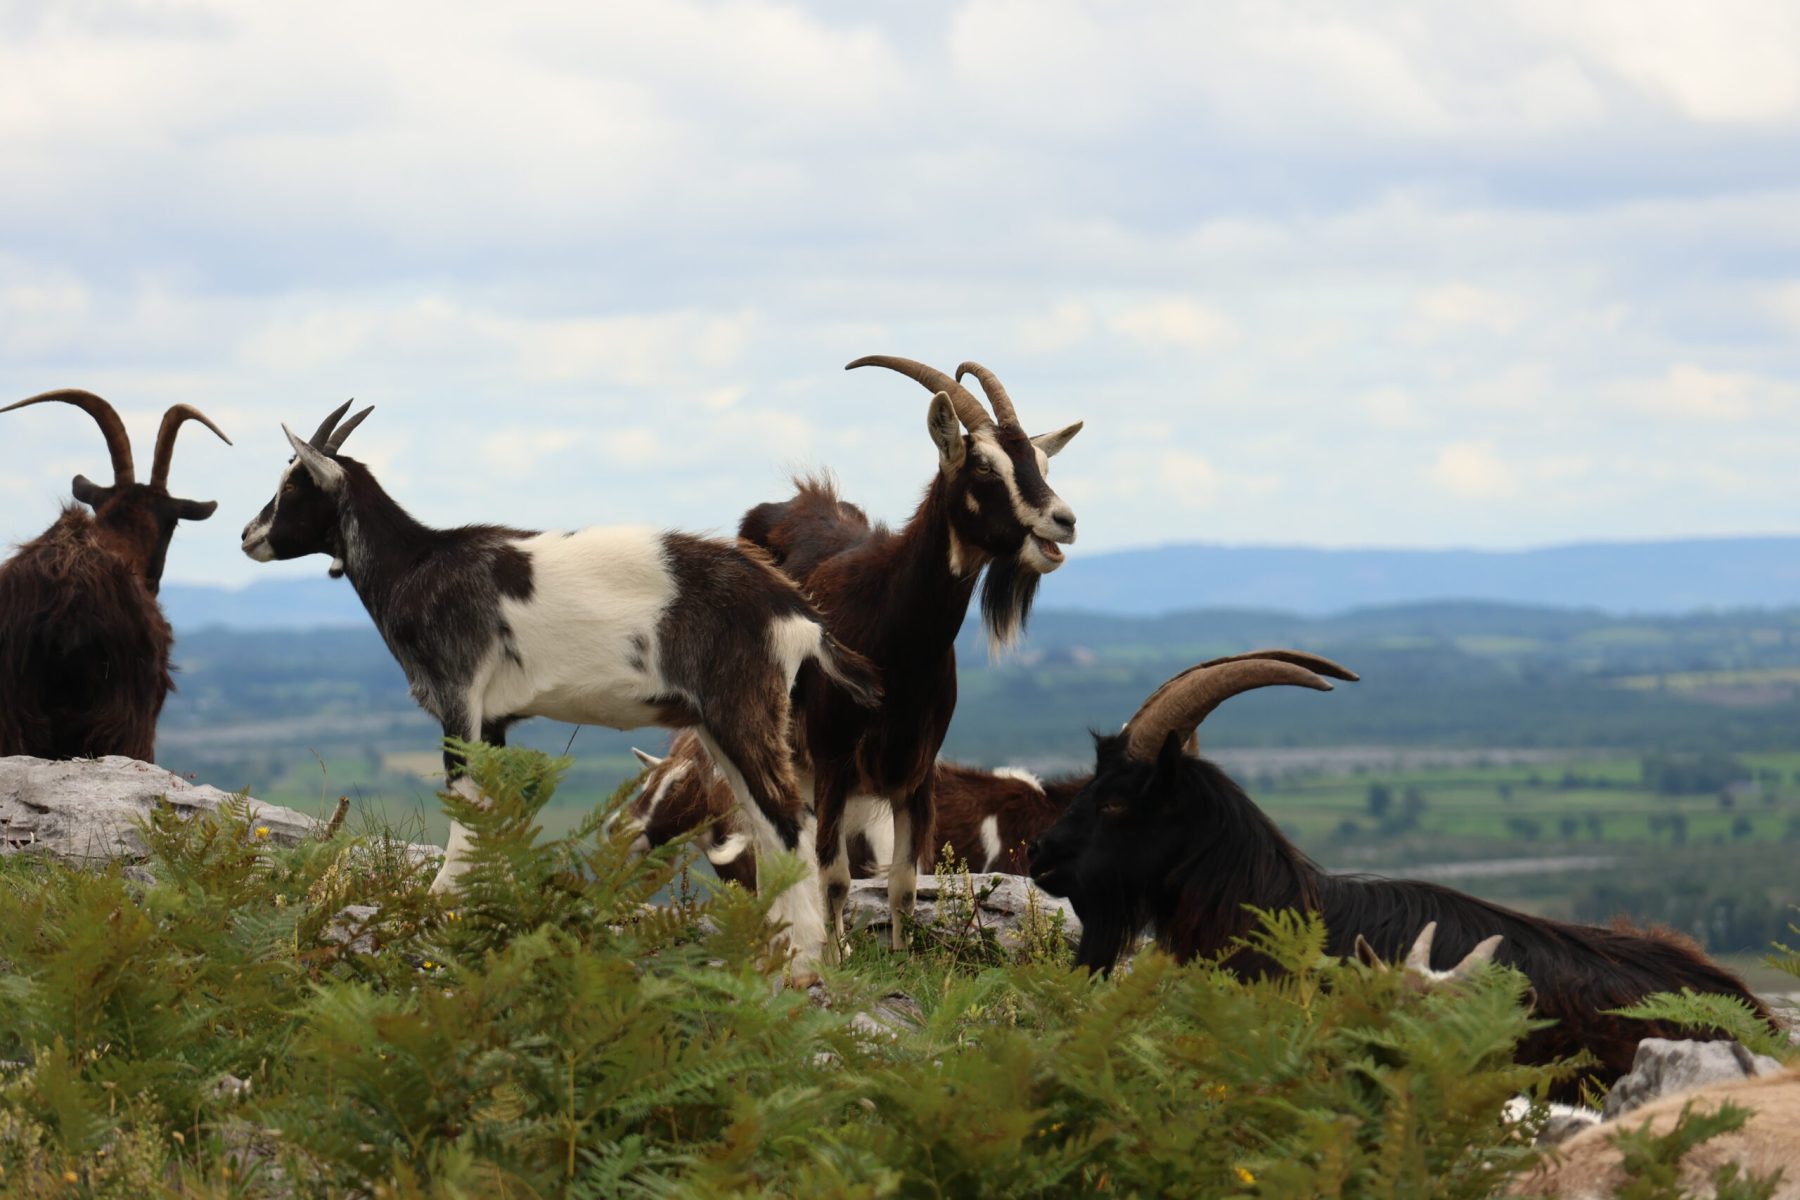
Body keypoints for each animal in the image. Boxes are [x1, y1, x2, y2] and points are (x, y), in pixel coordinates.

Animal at [239, 401, 880, 969]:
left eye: (294, 484)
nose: (247, 535)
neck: (418, 567)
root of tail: (797, 614)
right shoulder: (494, 719)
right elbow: (492, 810)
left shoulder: (460, 700)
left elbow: (464, 805)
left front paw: (440, 911)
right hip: (724, 724)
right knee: (768, 825)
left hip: (741, 709)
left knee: (789, 822)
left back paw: (802, 959)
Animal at [738, 356, 1082, 958]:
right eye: (983, 465)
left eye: (1041, 462)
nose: (1063, 520)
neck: (894, 638)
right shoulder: (835, 760)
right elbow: (836, 877)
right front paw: (837, 959)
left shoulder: (918, 770)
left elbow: (902, 882)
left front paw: (897, 955)